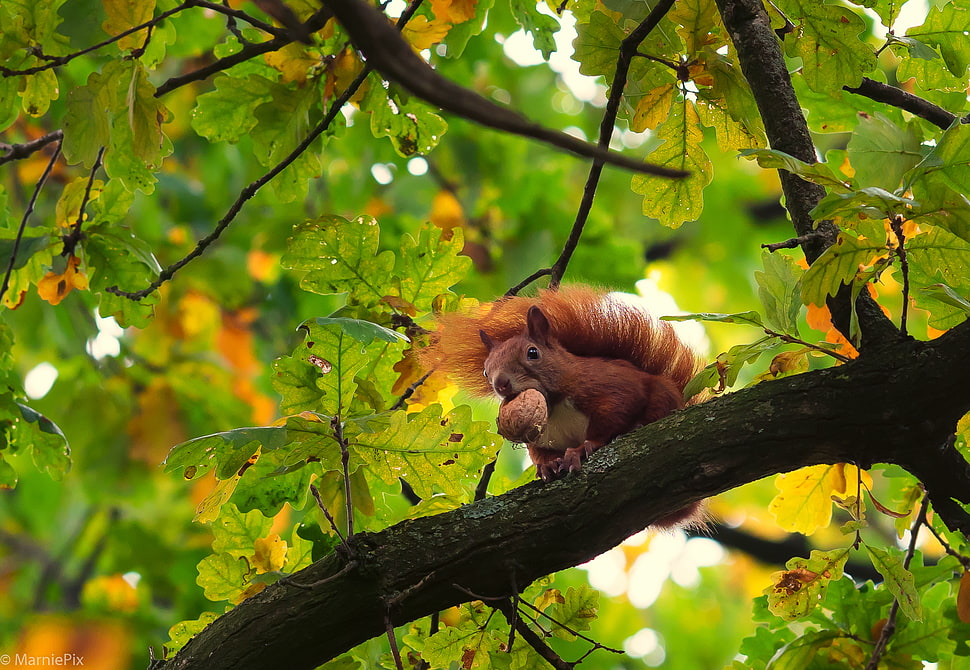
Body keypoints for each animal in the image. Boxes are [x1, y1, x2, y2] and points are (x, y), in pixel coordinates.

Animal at [420, 288, 700, 484]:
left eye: (532, 353)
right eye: (486, 370)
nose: (501, 384)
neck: (554, 404)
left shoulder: (607, 385)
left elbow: (615, 412)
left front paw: (583, 448)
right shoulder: (540, 438)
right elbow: (540, 454)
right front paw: (546, 466)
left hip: (662, 394)